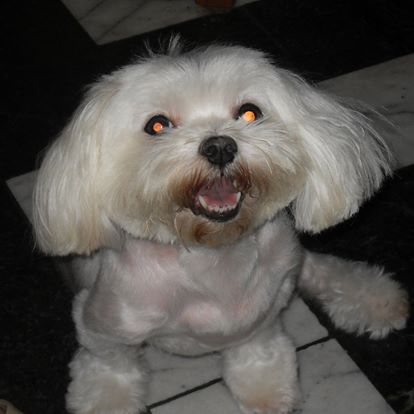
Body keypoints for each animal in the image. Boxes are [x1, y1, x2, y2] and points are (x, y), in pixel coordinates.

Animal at [33, 40, 409, 414]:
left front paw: (265, 386)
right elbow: (110, 364)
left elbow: (257, 348)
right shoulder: (102, 327)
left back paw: (375, 298)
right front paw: (107, 399)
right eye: (157, 126)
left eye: (249, 113)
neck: (211, 256)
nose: (219, 146)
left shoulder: (263, 311)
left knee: (319, 268)